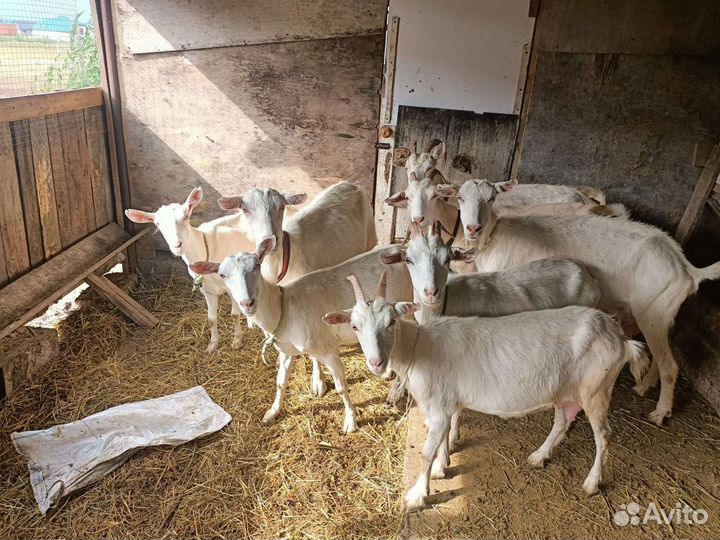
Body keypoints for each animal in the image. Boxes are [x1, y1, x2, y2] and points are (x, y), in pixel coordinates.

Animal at [125, 187, 254, 353]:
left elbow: (234, 314)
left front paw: (237, 341)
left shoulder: (233, 286)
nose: (177, 245)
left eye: (186, 216)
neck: (206, 247)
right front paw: (212, 345)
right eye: (157, 223)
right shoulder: (207, 290)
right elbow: (211, 319)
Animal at [190, 239, 412, 433]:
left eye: (257, 266)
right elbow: (280, 381)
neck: (284, 308)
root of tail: (400, 248)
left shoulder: (328, 349)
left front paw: (350, 421)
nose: (247, 303)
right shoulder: (287, 350)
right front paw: (272, 412)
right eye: (222, 274)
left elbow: (341, 388)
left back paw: (395, 390)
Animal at [217, 182, 377, 396]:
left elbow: (316, 350)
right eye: (245, 209)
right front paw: (280, 358)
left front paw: (318, 383)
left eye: (281, 207)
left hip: (371, 238)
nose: (270, 238)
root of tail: (350, 184)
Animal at [324, 272, 648, 510]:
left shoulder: (439, 406)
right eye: (355, 326)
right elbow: (443, 438)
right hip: (566, 390)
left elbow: (427, 451)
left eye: (391, 321)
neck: (419, 348)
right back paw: (538, 457)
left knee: (603, 435)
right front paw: (443, 466)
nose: (377, 362)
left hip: (596, 389)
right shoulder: (445, 404)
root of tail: (621, 339)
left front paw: (418, 496)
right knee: (562, 422)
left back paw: (592, 483)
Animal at [442, 178, 720, 425]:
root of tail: (686, 267)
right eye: (460, 197)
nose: (472, 228)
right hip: (663, 314)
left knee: (670, 366)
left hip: (653, 312)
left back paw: (660, 413)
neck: (495, 237)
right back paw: (643, 387)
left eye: (492, 199)